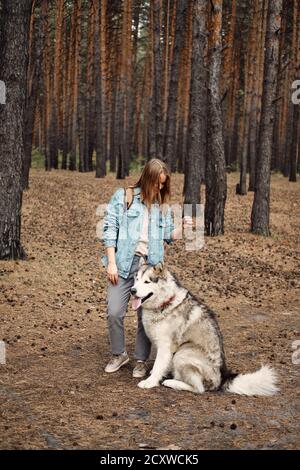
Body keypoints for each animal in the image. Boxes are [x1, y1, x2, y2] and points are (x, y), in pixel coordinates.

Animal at [131, 262, 278, 394]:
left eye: (147, 282)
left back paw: (173, 383)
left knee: (199, 389)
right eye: (136, 280)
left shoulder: (165, 345)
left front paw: (150, 381)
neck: (166, 302)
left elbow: (158, 366)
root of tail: (222, 379)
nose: (132, 290)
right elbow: (162, 365)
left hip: (183, 352)